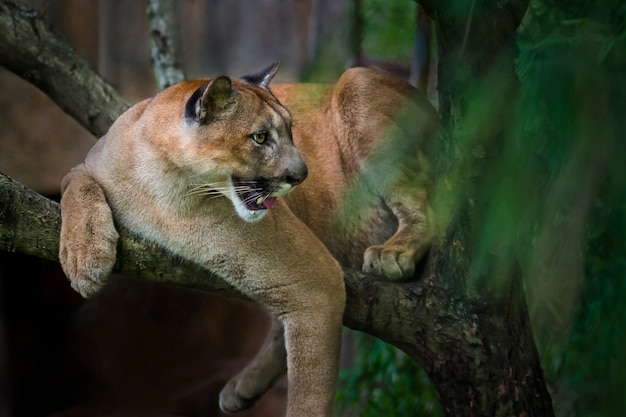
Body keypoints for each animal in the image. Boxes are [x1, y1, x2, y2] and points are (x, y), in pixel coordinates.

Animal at [61, 62, 436, 416]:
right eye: (259, 137)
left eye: (291, 131)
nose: (302, 174)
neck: (167, 185)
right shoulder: (87, 166)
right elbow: (75, 186)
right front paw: (84, 259)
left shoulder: (319, 280)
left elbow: (309, 388)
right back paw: (244, 388)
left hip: (357, 84)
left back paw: (393, 253)